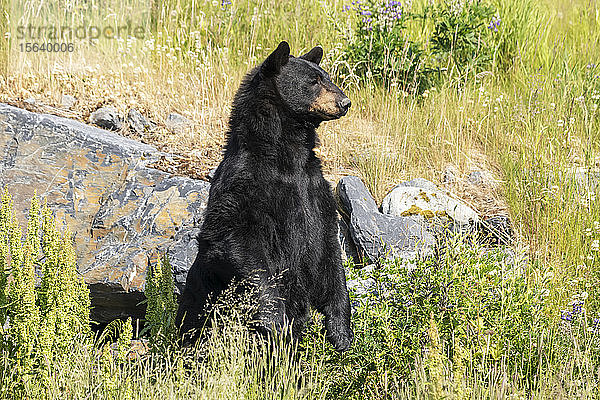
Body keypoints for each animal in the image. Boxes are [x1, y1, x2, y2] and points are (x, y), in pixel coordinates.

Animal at [175, 41, 352, 350]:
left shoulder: (316, 192)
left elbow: (329, 248)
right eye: (314, 81)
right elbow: (238, 241)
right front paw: (275, 321)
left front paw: (340, 331)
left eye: (328, 77)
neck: (286, 158)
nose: (345, 102)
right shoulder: (243, 185)